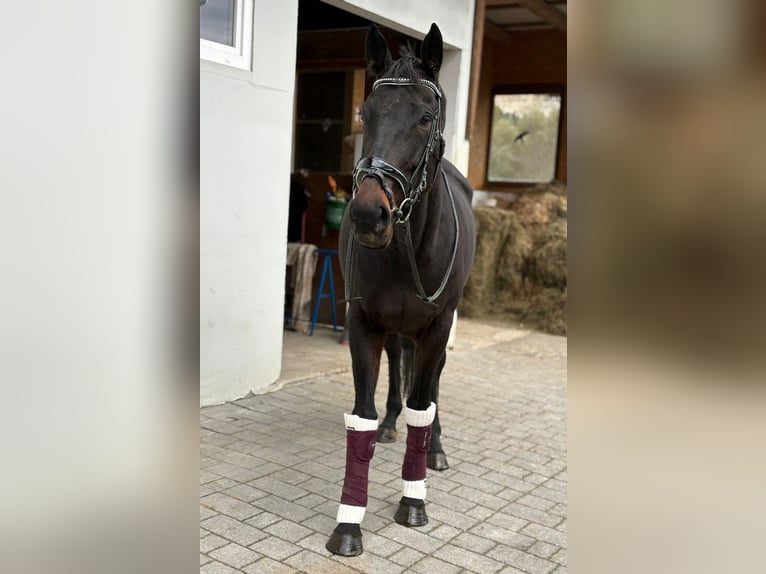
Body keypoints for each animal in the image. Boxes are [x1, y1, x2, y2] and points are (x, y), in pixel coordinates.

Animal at [326, 23, 476, 557]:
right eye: (366, 114)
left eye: (425, 117)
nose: (369, 214)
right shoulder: (364, 324)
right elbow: (363, 416)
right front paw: (349, 524)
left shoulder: (436, 328)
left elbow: (423, 406)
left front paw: (414, 501)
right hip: (395, 330)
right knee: (398, 371)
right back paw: (393, 424)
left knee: (428, 395)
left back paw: (436, 449)